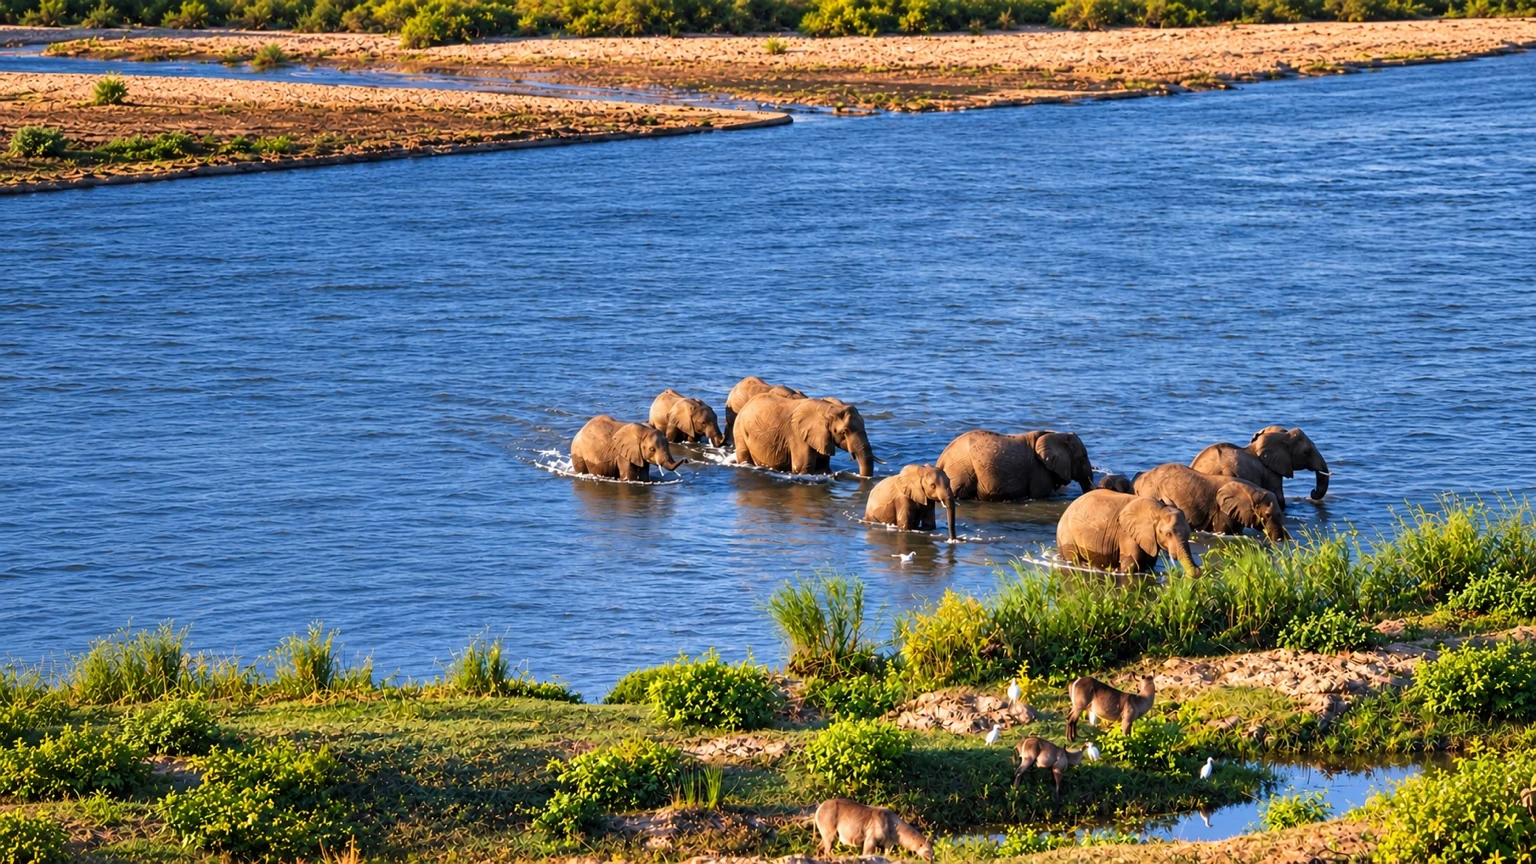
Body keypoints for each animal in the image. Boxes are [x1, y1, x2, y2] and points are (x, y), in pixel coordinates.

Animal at [734, 394, 874, 477]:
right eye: (844, 432)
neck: (827, 409)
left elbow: (822, 468)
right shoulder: (797, 436)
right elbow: (803, 468)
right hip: (739, 431)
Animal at [936, 430, 1094, 502]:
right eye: (1083, 457)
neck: (1057, 435)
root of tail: (942, 457)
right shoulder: (1038, 469)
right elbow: (1040, 495)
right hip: (962, 469)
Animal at [1056, 489, 1200, 576]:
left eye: (1189, 533)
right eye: (1167, 534)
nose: (1198, 571)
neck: (1159, 509)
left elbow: (1148, 564)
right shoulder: (1126, 533)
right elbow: (1130, 566)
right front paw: (1115, 570)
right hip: (1067, 533)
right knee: (1072, 557)